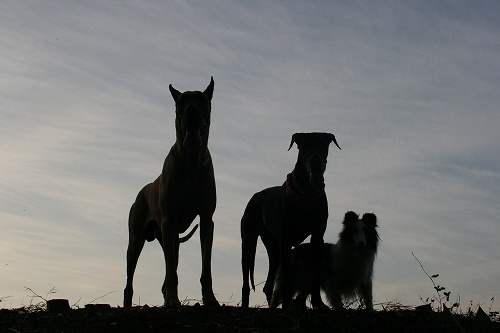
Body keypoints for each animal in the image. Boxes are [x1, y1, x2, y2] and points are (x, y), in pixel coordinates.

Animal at [123, 77, 219, 306]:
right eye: (182, 101)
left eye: (202, 99)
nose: (191, 109)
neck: (191, 163)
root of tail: (142, 191)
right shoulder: (168, 220)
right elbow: (171, 272)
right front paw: (173, 301)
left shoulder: (206, 220)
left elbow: (206, 267)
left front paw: (210, 298)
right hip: (136, 240)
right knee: (131, 279)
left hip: (172, 239)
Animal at [241, 132, 342, 308]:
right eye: (305, 144)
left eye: (323, 144)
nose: (315, 159)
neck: (306, 192)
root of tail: (255, 196)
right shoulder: (286, 239)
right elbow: (287, 275)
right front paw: (288, 303)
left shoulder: (317, 237)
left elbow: (315, 272)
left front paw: (318, 303)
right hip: (249, 241)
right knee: (246, 279)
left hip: (273, 247)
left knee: (268, 284)